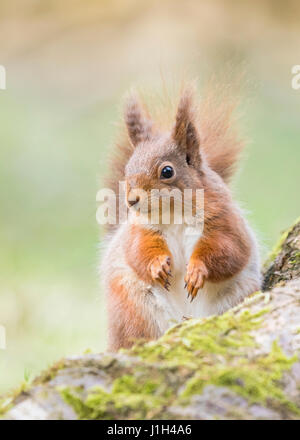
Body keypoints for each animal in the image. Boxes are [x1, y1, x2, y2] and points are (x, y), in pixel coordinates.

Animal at [101, 85, 260, 350]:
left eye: (167, 171)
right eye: (127, 169)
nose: (131, 201)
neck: (173, 213)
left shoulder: (224, 220)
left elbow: (229, 250)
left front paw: (197, 270)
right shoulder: (140, 230)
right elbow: (138, 251)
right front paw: (156, 266)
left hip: (238, 294)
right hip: (133, 308)